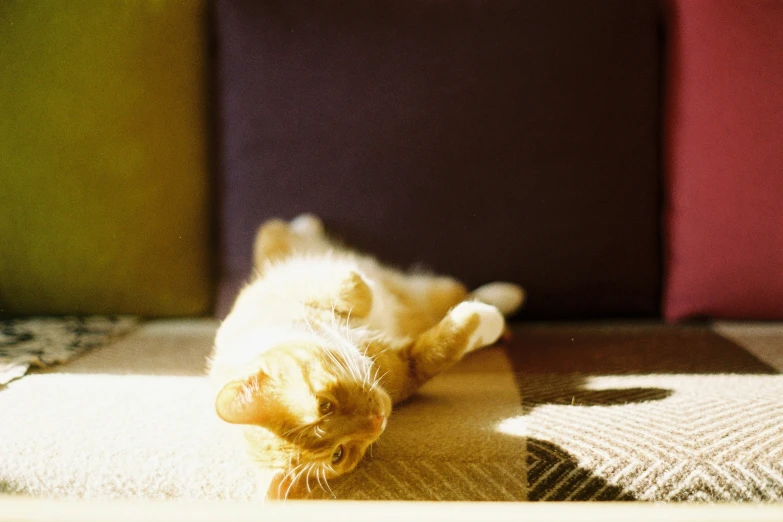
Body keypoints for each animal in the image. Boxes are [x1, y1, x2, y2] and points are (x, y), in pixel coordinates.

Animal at [211, 213, 524, 498]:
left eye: (324, 404)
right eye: (338, 454)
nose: (377, 419)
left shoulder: (304, 287)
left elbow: (353, 286)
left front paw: (362, 295)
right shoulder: (406, 372)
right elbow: (440, 350)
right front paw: (487, 323)